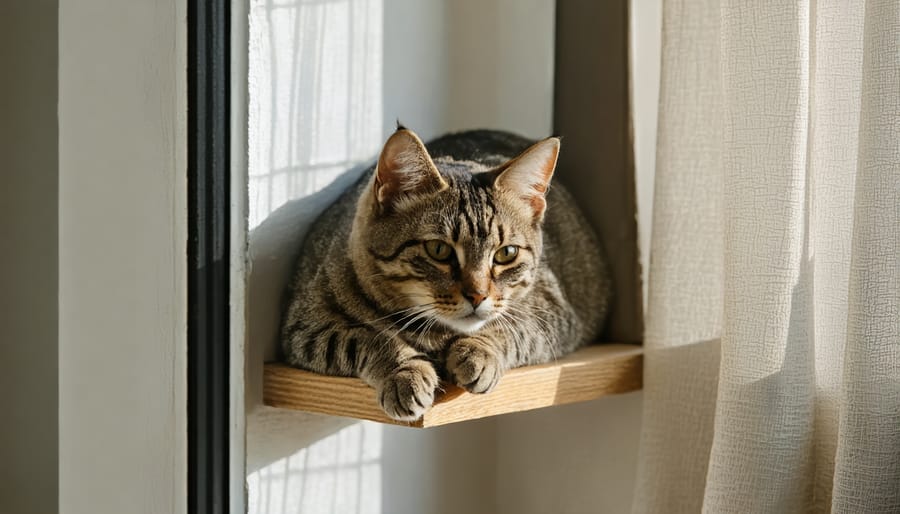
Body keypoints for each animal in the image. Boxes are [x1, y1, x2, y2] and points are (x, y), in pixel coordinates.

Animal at [282, 127, 612, 420]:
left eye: (506, 253)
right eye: (439, 250)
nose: (477, 295)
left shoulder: (551, 312)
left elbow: (510, 329)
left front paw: (478, 353)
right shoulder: (307, 328)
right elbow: (370, 337)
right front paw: (405, 373)